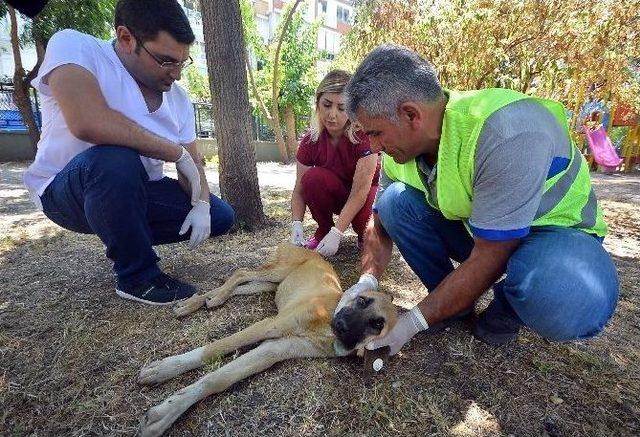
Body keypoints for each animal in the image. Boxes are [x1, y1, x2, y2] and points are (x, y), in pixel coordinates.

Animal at [136, 244, 396, 434]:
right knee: (241, 273)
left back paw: (200, 301)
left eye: (378, 325)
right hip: (277, 271)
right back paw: (209, 300)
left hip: (269, 284)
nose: (341, 326)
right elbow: (214, 348)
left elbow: (219, 379)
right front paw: (164, 369)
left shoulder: (275, 350)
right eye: (362, 300)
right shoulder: (269, 325)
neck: (324, 329)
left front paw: (163, 416)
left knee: (240, 285)